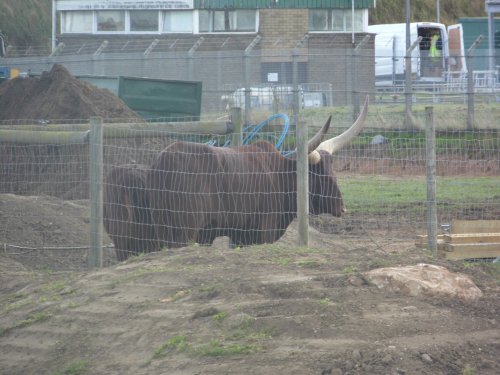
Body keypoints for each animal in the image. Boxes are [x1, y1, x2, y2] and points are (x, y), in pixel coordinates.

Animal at [146, 97, 370, 250]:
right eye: (321, 174)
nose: (342, 208)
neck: (280, 174)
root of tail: (163, 160)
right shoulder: (263, 233)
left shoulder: (238, 236)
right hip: (184, 232)